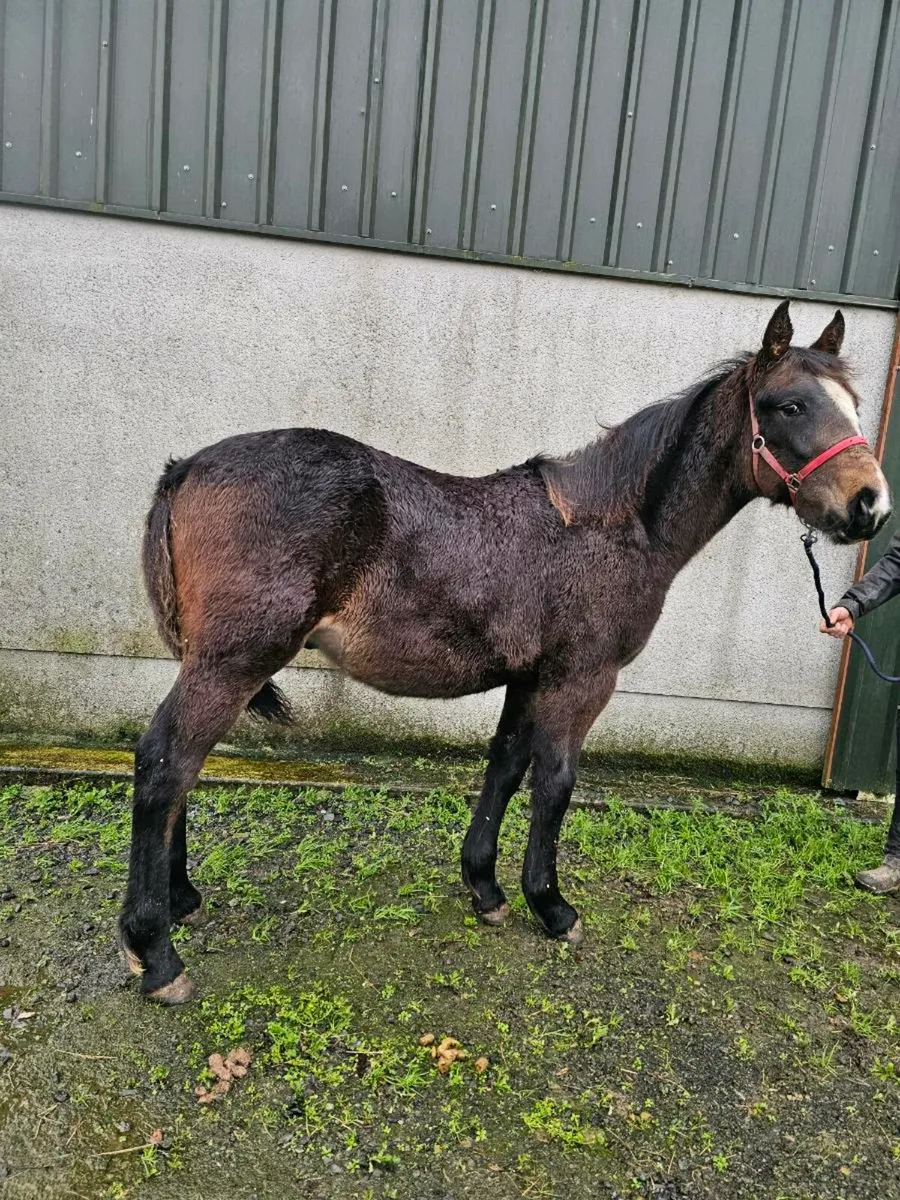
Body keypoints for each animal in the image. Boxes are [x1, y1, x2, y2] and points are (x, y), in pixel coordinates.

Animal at [120, 300, 891, 1004]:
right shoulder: (581, 681)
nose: (870, 506)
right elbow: (555, 784)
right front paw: (551, 906)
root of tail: (186, 468)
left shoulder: (529, 679)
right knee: (165, 764)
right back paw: (156, 954)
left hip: (214, 661)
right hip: (235, 660)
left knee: (180, 768)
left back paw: (182, 901)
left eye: (855, 407)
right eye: (789, 404)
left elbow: (504, 771)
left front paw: (486, 889)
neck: (614, 527)